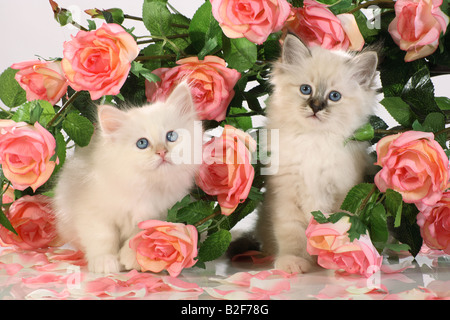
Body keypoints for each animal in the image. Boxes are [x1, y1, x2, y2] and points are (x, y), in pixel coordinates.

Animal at [53, 82, 200, 272]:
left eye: (171, 136)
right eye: (142, 143)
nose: (162, 152)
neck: (145, 186)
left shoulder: (160, 215)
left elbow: (139, 237)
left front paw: (131, 258)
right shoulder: (93, 212)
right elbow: (103, 237)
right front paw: (105, 261)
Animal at [256, 36, 380, 274]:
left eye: (334, 96)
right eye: (306, 90)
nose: (315, 107)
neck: (314, 141)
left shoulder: (343, 193)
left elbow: (340, 229)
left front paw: (341, 260)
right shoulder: (285, 195)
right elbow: (291, 234)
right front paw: (293, 262)